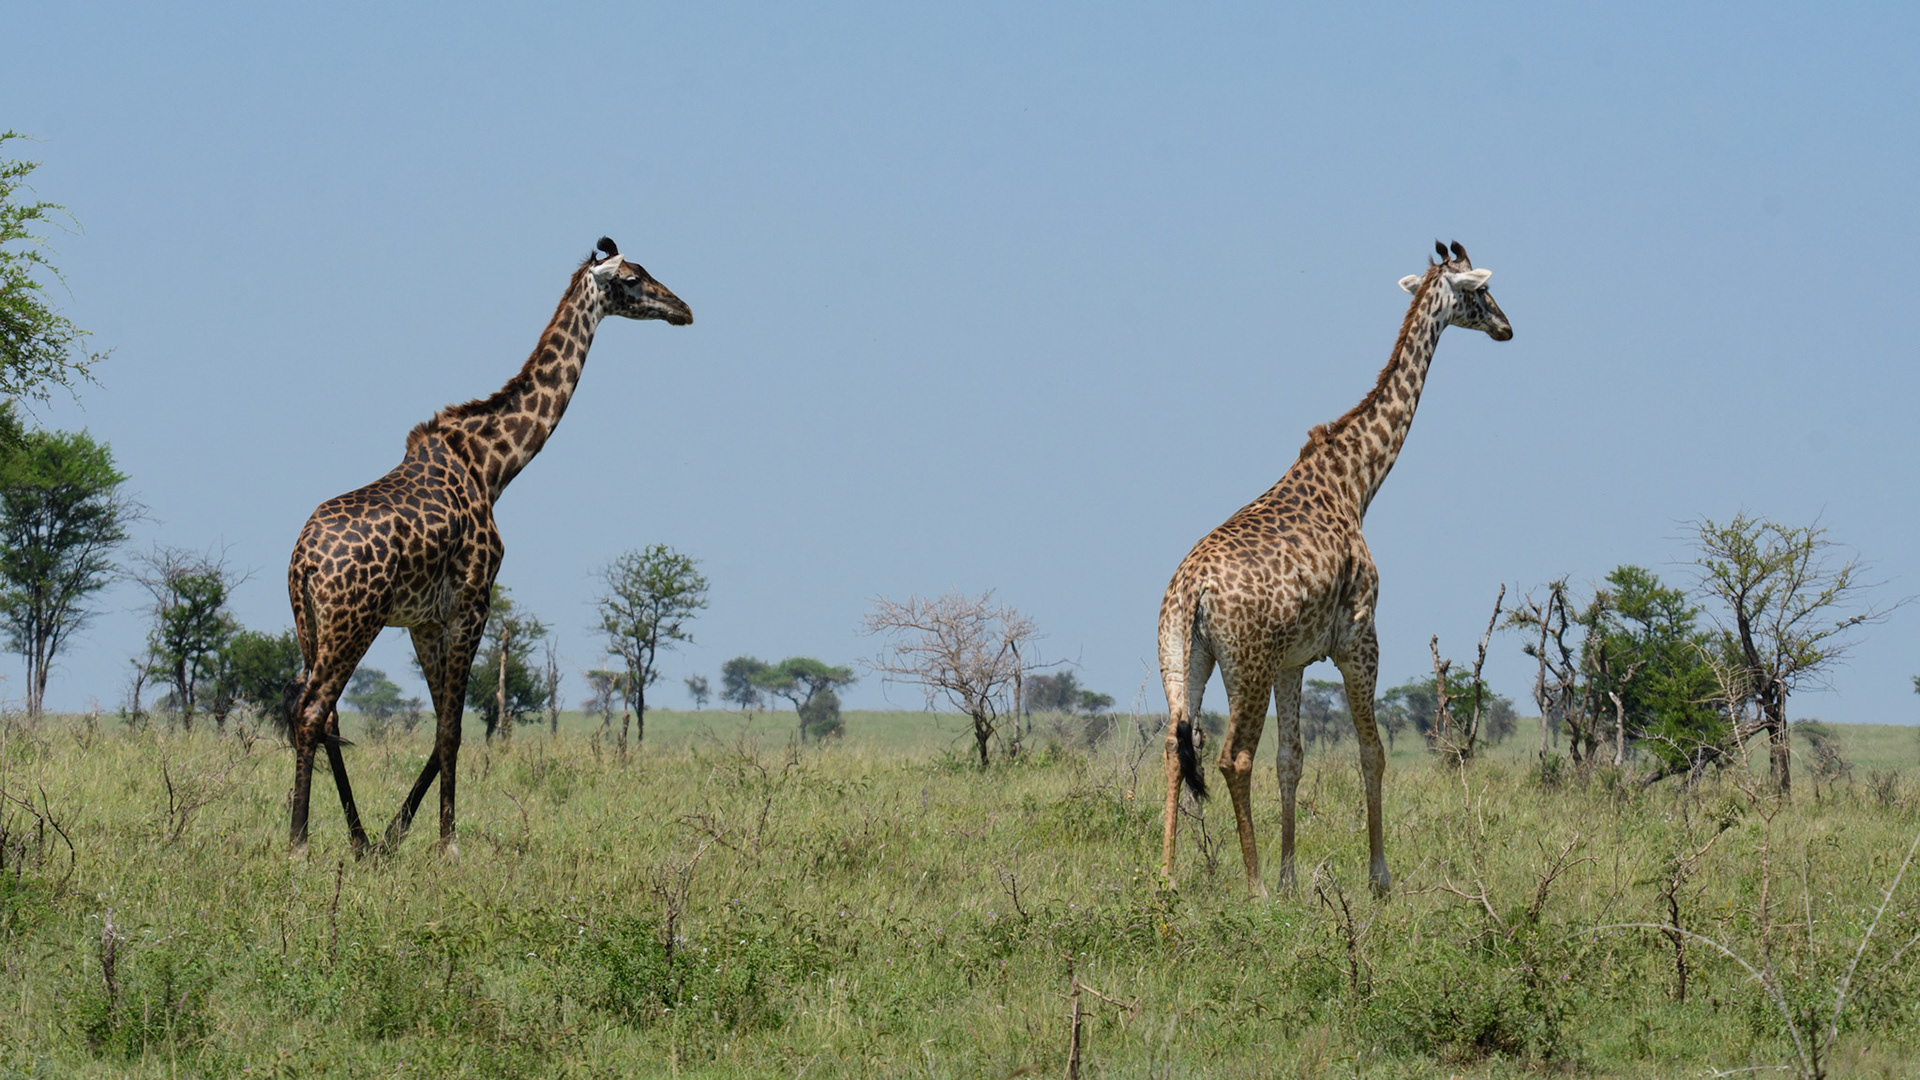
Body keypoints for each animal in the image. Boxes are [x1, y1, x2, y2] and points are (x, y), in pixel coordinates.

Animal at [285, 237, 691, 857]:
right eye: (634, 278)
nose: (683, 308)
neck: (493, 466)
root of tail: (303, 560)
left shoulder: (426, 620)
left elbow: (439, 728)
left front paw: (393, 836)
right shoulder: (473, 601)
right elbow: (452, 729)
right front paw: (447, 845)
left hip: (312, 624)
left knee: (324, 717)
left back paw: (356, 839)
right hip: (354, 621)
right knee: (311, 713)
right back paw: (300, 844)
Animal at [1158, 241, 1511, 897]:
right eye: (1480, 291)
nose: (1507, 327)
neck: (1356, 481)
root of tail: (1192, 591)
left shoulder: (1294, 660)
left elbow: (1292, 761)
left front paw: (1292, 879)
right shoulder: (1358, 636)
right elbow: (1371, 753)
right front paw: (1378, 878)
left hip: (1186, 658)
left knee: (1175, 745)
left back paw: (1166, 879)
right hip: (1246, 666)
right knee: (1230, 757)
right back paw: (1252, 887)